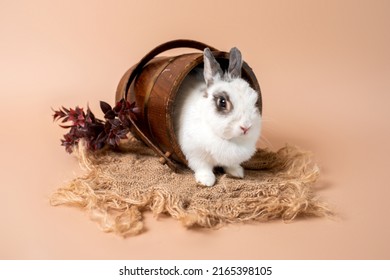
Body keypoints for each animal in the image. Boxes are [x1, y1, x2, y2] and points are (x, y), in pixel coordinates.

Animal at [174, 47, 262, 187]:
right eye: (222, 102)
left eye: (254, 100)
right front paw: (206, 181)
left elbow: (231, 164)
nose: (246, 127)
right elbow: (202, 167)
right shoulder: (195, 154)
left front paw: (237, 173)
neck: (228, 140)